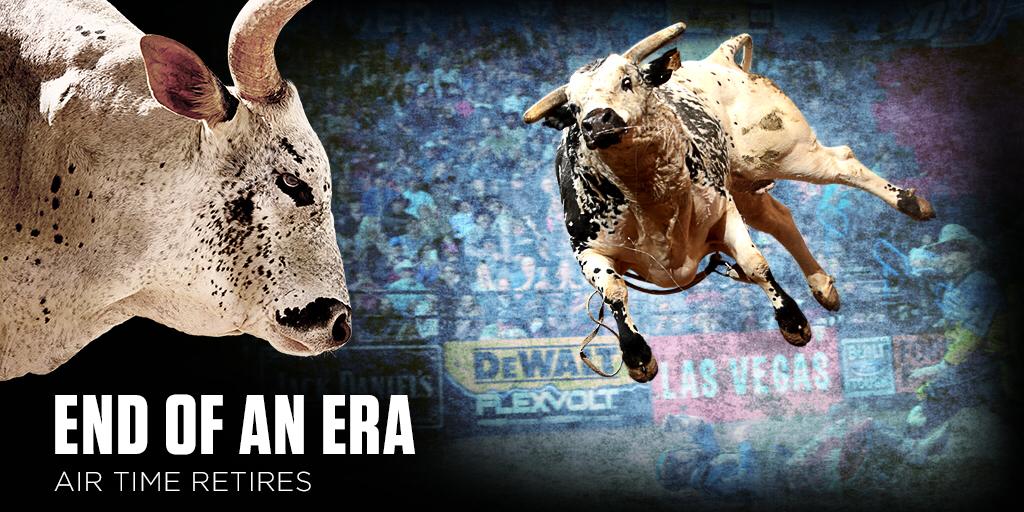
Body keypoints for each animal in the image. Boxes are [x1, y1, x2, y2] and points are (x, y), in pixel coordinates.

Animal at [522, 23, 935, 383]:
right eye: (575, 107)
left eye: (627, 81)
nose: (597, 121)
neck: (651, 199)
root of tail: (719, 59)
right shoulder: (587, 249)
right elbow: (614, 292)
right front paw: (637, 356)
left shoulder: (723, 212)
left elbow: (755, 263)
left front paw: (793, 321)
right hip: (747, 186)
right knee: (781, 218)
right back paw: (821, 285)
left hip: (786, 153)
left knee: (843, 163)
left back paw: (910, 203)